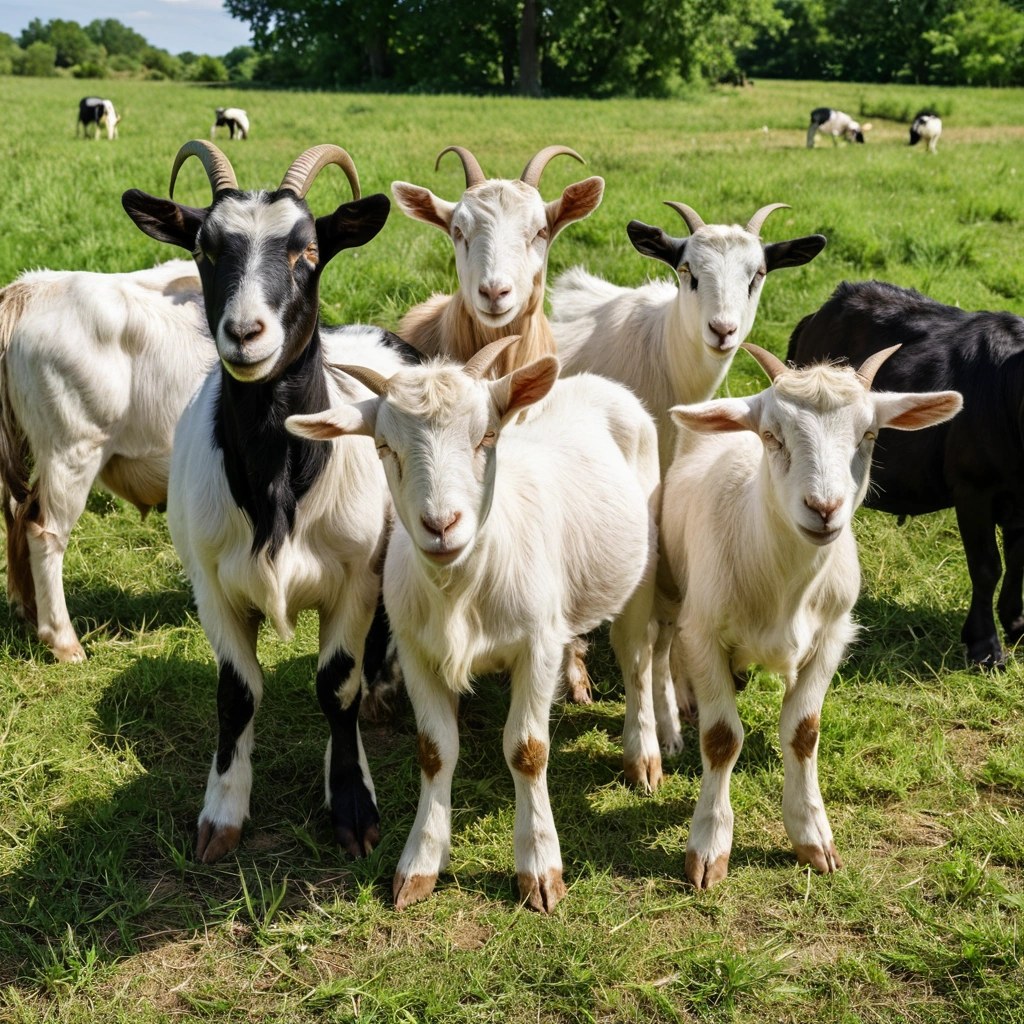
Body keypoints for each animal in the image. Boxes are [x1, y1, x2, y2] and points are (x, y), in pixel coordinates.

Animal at [0, 260, 215, 662]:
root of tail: (32, 288)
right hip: (73, 450)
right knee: (42, 531)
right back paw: (64, 642)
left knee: (16, 513)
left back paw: (27, 611)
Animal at [122, 140, 416, 863]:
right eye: (204, 248)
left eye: (307, 250)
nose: (245, 332)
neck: (278, 481)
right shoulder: (212, 585)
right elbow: (237, 694)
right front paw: (222, 812)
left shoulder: (352, 581)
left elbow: (336, 685)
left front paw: (352, 802)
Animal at [286, 335, 663, 913]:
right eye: (384, 447)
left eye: (486, 436)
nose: (441, 525)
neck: (460, 588)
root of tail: (596, 383)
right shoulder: (417, 651)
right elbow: (434, 750)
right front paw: (419, 863)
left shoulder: (534, 645)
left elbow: (528, 750)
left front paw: (539, 868)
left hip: (642, 568)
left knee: (636, 657)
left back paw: (642, 755)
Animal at [661, 343, 961, 889]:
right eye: (771, 435)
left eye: (869, 434)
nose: (824, 508)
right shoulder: (706, 631)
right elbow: (721, 739)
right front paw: (709, 846)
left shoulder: (833, 636)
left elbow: (803, 732)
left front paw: (812, 835)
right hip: (674, 585)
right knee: (666, 644)